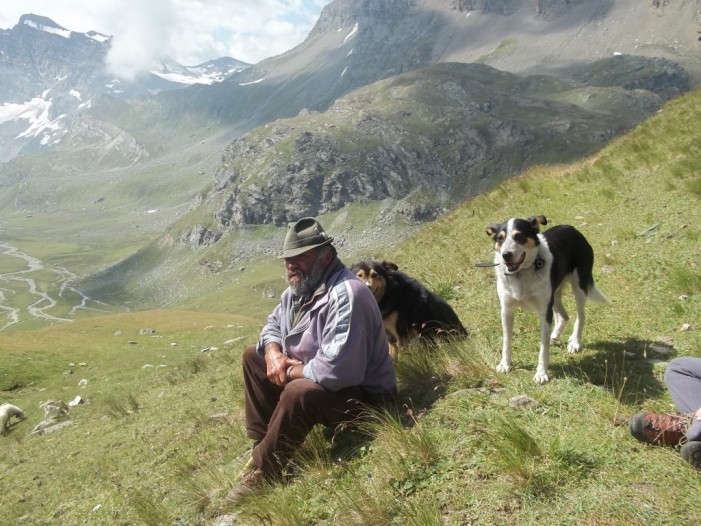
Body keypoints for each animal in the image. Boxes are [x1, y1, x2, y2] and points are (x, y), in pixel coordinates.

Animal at [486, 214, 608, 384]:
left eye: (519, 236)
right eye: (500, 238)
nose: (506, 255)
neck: (522, 273)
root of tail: (572, 228)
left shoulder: (544, 312)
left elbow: (543, 348)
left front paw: (541, 373)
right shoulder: (507, 311)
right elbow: (506, 340)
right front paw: (505, 364)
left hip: (579, 286)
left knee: (581, 316)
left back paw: (575, 342)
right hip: (554, 294)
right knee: (563, 316)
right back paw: (554, 335)